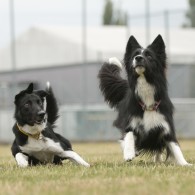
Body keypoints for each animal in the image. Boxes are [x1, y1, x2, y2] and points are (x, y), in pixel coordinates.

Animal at [98, 34, 191, 165]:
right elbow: (128, 135)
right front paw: (129, 153)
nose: (138, 58)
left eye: (149, 56)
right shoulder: (129, 123)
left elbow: (175, 147)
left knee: (158, 151)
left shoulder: (166, 127)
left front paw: (185, 164)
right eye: (135, 55)